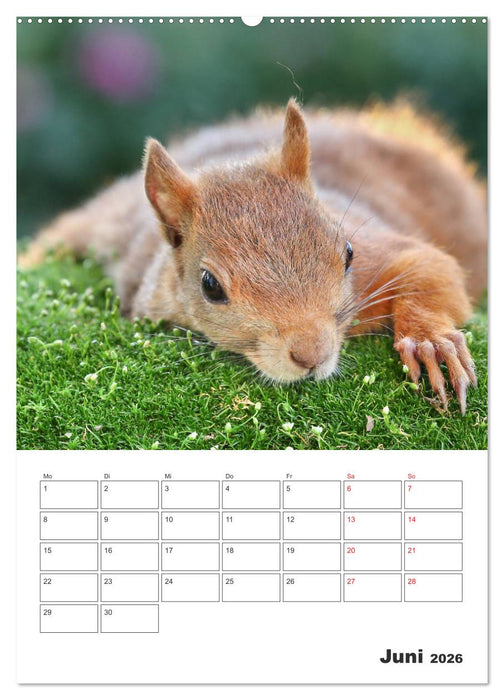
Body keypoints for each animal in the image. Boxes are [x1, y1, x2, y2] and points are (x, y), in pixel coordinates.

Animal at [19, 98, 486, 414]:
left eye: (348, 253)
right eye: (209, 286)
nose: (312, 355)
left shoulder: (381, 255)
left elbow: (430, 267)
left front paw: (429, 341)